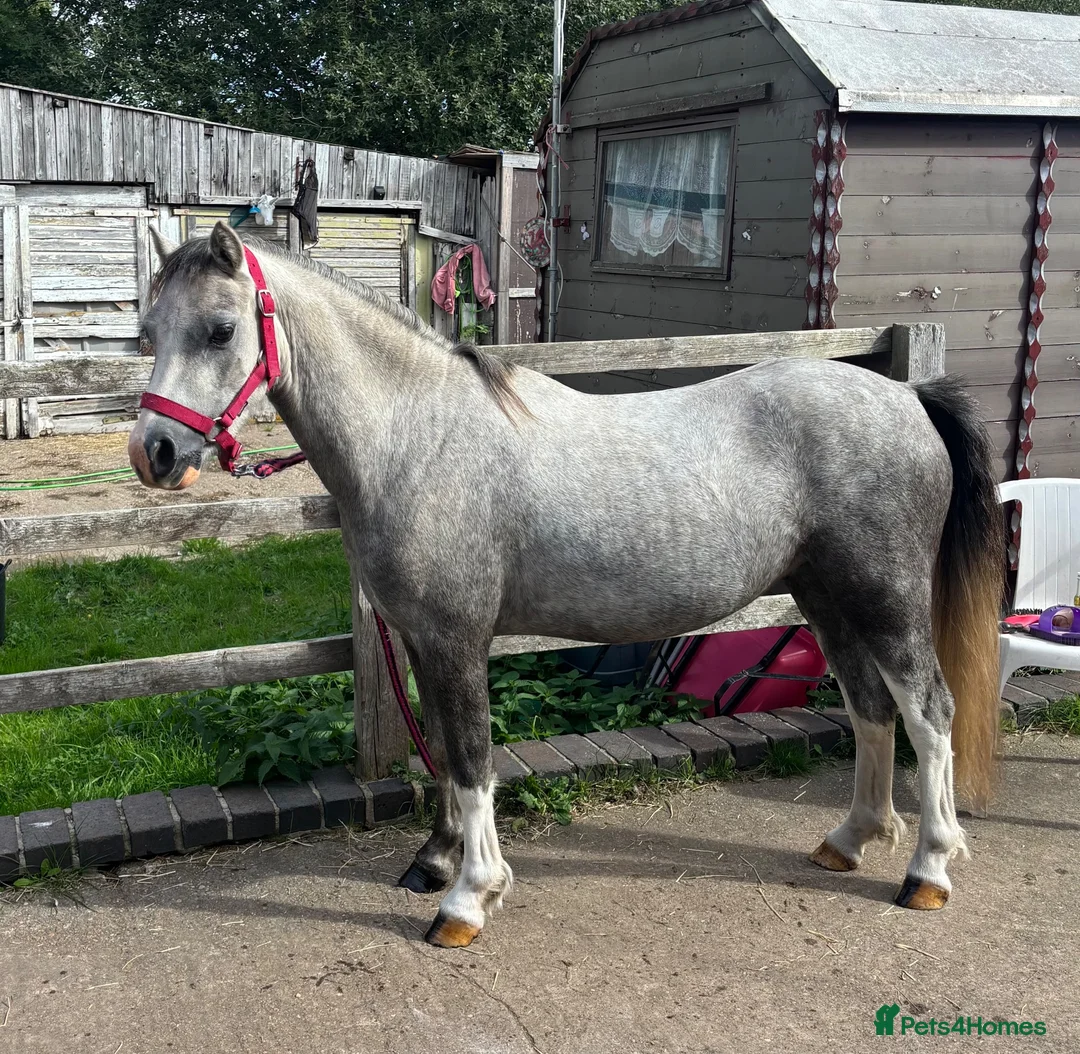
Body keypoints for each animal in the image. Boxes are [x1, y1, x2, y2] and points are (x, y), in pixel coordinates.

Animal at [131, 221, 1003, 948]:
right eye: (149, 329)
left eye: (220, 329)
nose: (155, 454)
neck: (418, 435)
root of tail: (907, 397)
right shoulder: (421, 637)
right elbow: (441, 750)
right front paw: (436, 861)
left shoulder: (456, 639)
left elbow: (472, 759)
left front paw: (468, 899)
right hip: (827, 600)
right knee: (870, 708)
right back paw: (850, 840)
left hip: (886, 600)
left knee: (930, 713)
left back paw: (928, 869)